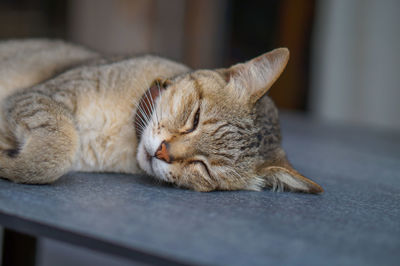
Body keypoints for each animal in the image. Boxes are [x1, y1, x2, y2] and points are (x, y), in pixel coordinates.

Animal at [0, 39, 324, 193]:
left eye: (204, 168)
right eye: (194, 118)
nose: (162, 152)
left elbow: (57, 152)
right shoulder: (42, 95)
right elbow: (60, 145)